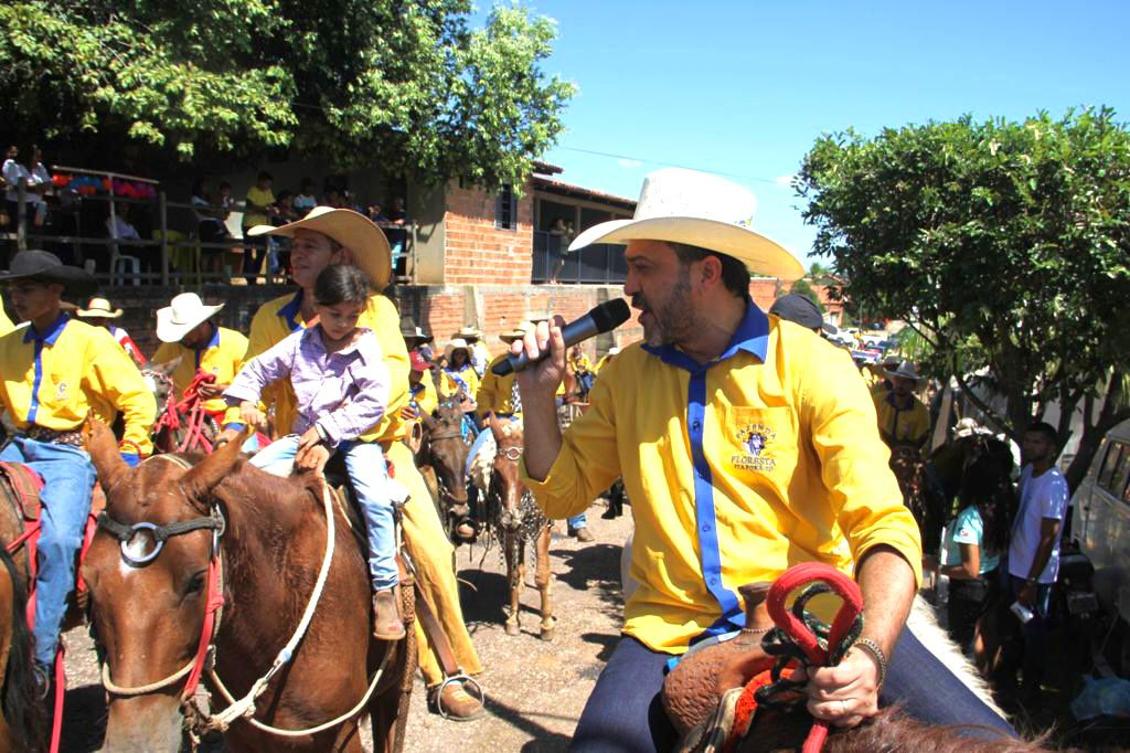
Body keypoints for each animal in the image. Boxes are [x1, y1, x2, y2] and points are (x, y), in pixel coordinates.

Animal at [485, 413, 555, 637]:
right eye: (497, 472)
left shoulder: (542, 529)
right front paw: (513, 619)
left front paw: (546, 623)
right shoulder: (507, 532)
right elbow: (513, 574)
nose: (510, 518)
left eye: (526, 473)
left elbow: (542, 575)